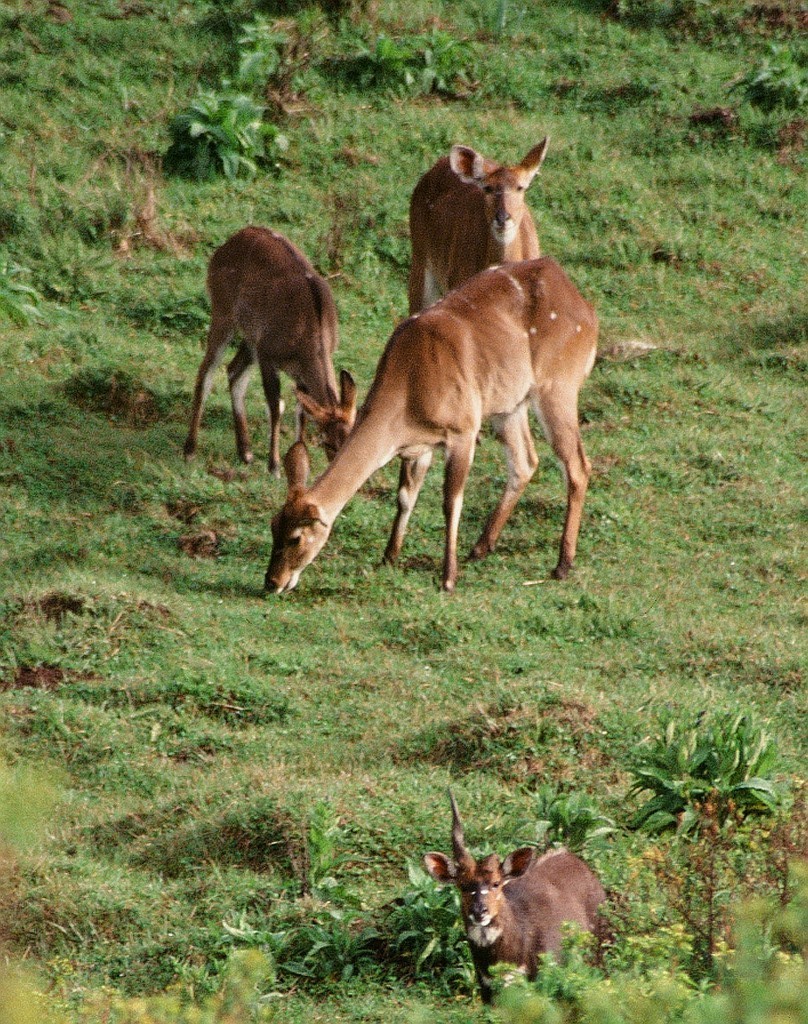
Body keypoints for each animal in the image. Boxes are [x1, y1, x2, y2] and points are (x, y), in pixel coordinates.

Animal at [187, 226, 358, 473]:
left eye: (352, 438)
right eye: (329, 442)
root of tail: (226, 245)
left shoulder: (298, 372)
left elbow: (301, 412)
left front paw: (298, 460)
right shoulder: (268, 355)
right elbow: (275, 407)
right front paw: (274, 465)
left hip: (250, 338)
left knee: (233, 370)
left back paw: (246, 452)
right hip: (223, 315)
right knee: (206, 372)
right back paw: (190, 450)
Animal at [264, 252, 593, 598]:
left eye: (295, 537)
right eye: (273, 525)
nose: (272, 581)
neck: (408, 387)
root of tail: (585, 309)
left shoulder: (462, 431)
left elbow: (451, 502)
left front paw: (448, 578)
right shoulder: (420, 445)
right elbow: (405, 496)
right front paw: (388, 557)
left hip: (557, 387)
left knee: (578, 465)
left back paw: (562, 565)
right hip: (508, 405)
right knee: (525, 461)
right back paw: (480, 548)